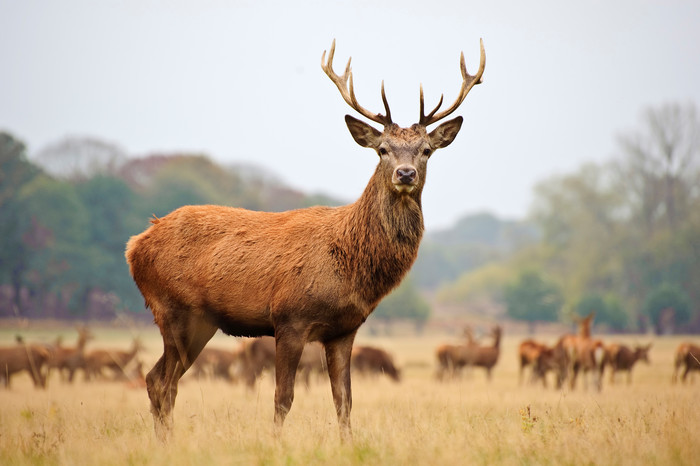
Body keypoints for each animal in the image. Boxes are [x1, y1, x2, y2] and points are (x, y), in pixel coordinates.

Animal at [126, 37, 484, 440]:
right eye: (382, 150)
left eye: (426, 150)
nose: (405, 174)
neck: (350, 264)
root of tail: (134, 245)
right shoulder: (289, 318)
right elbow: (283, 397)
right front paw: (276, 444)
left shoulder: (345, 329)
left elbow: (344, 400)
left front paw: (347, 444)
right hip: (174, 309)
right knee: (161, 381)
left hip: (197, 321)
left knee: (160, 380)